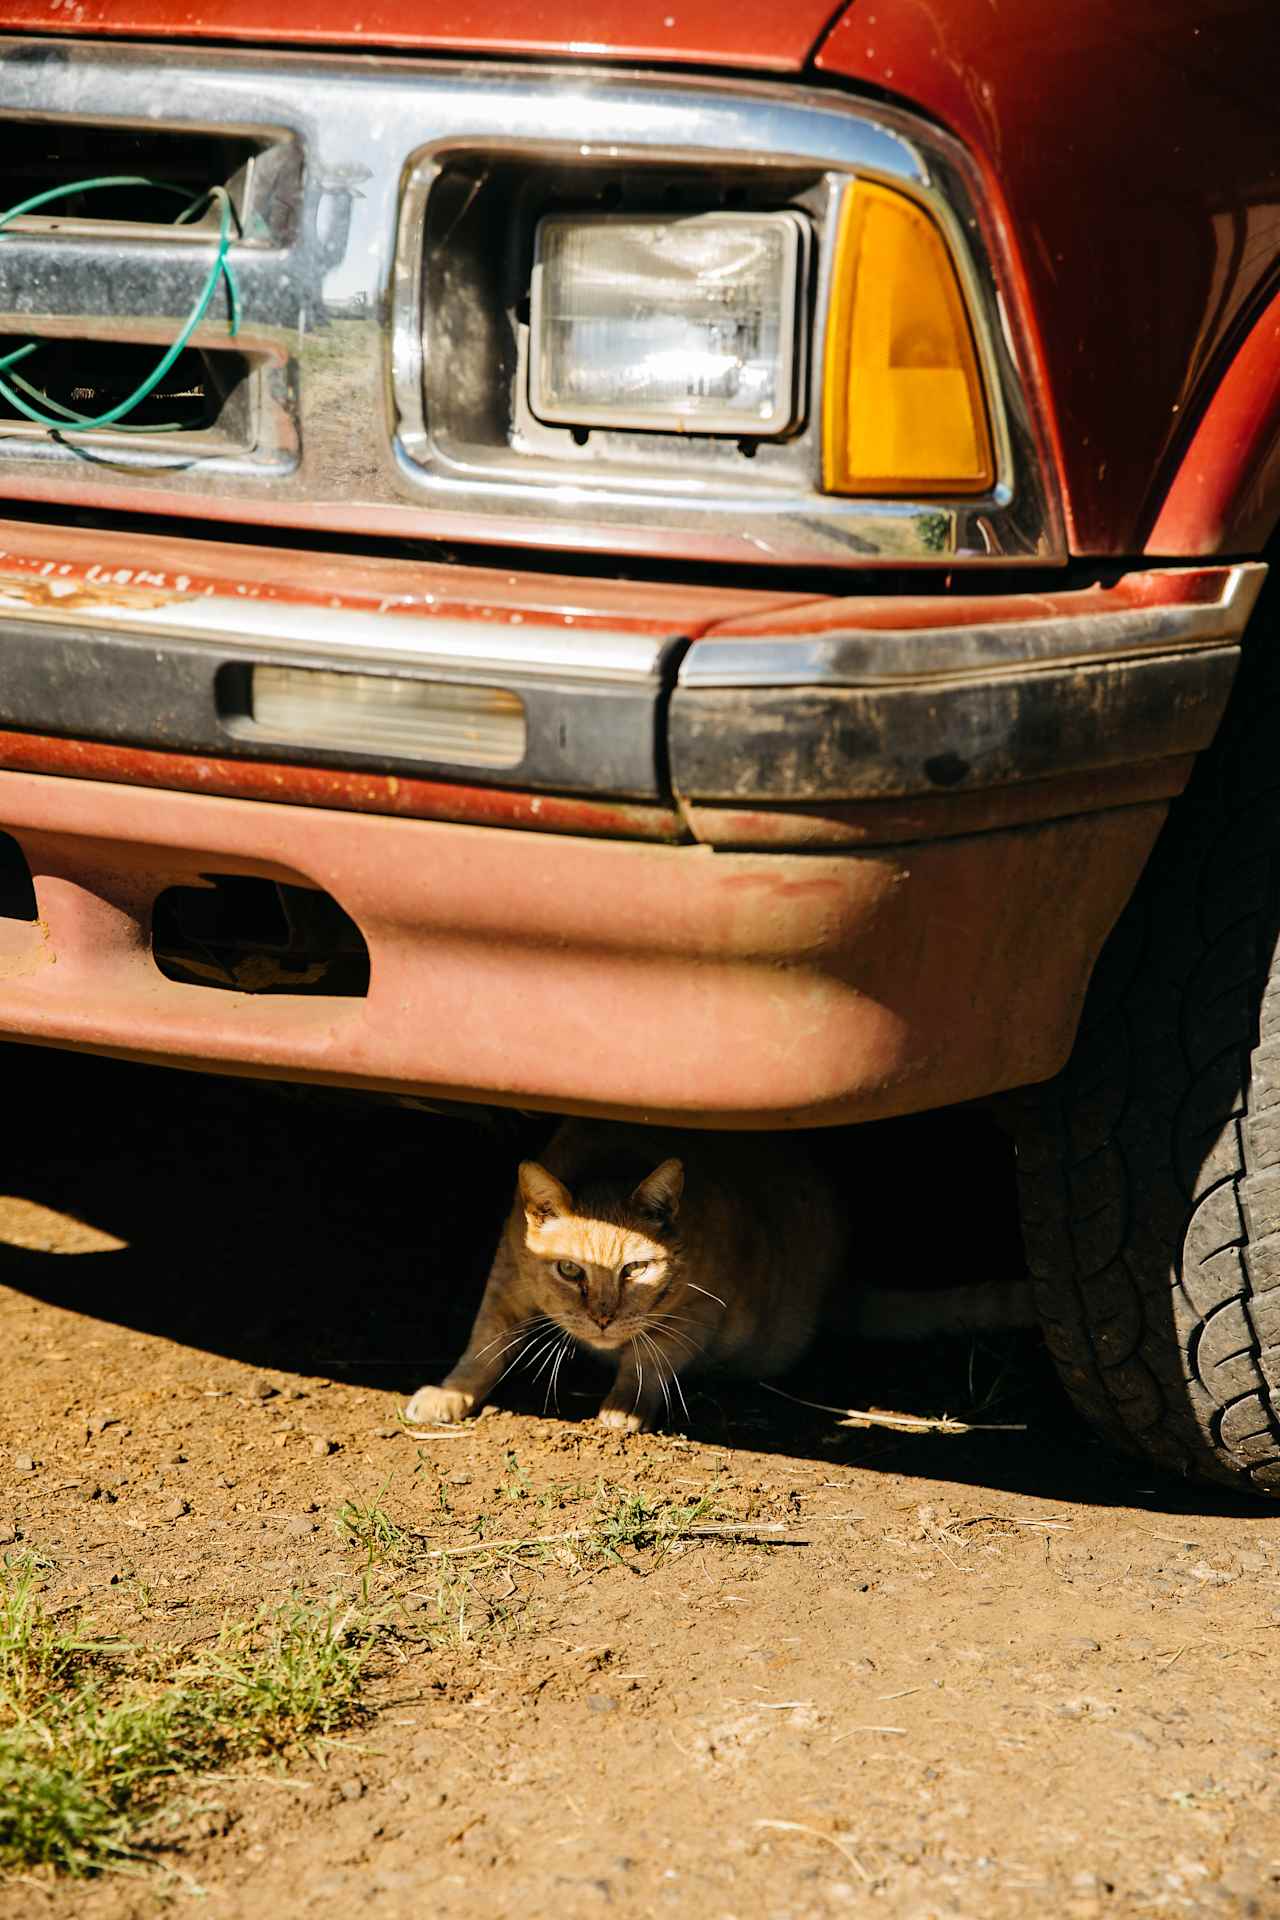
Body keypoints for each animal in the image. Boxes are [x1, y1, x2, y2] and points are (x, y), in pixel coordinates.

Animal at [404, 1113, 844, 1443]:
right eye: (569, 1268)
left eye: (634, 1270)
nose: (602, 1318)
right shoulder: (507, 1273)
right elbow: (484, 1342)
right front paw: (451, 1391)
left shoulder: (699, 1308)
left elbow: (649, 1357)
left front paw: (626, 1403)